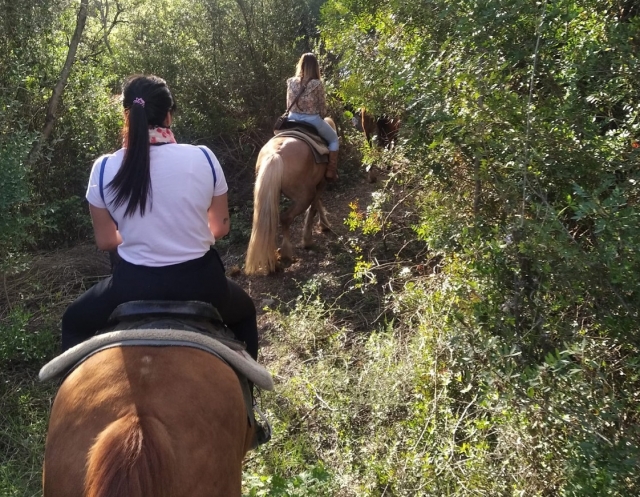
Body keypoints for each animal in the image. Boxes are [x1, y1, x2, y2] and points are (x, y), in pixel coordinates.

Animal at [244, 118, 336, 275]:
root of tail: (276, 154)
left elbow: (317, 204)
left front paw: (323, 225)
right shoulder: (321, 183)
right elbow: (314, 207)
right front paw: (311, 237)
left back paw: (272, 262)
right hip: (304, 196)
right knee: (286, 218)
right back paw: (287, 253)